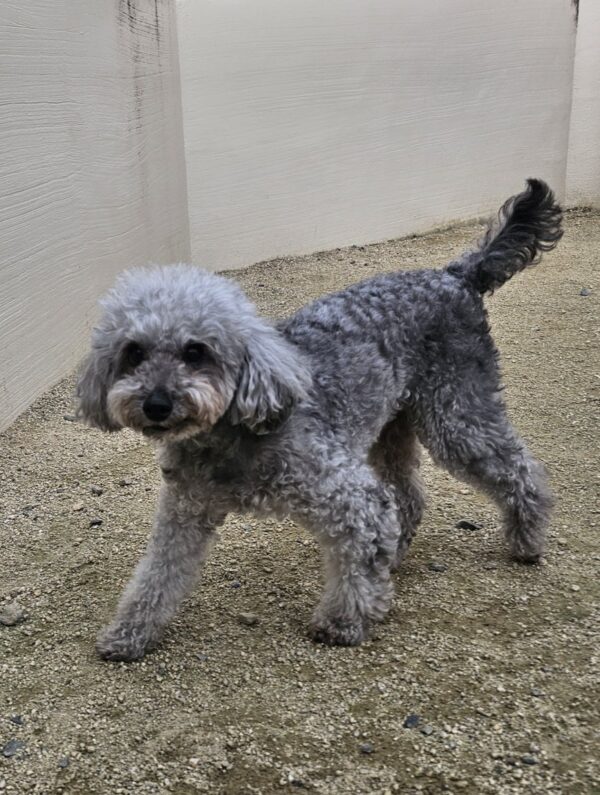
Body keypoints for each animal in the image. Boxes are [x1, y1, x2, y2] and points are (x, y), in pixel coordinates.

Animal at [77, 179, 562, 661]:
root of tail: (455, 274)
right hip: (393, 426)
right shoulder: (184, 512)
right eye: (133, 352)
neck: (231, 432)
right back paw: (398, 554)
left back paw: (525, 539)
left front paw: (345, 620)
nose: (156, 404)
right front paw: (129, 632)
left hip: (456, 415)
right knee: (406, 497)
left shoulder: (346, 492)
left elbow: (360, 549)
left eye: (196, 351)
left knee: (517, 469)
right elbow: (157, 574)